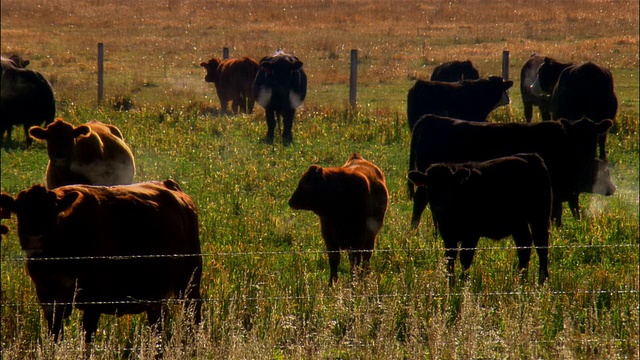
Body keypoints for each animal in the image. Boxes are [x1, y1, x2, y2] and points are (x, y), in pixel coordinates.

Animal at [290, 153, 390, 286]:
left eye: (304, 185)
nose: (291, 201)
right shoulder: (329, 237)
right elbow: (334, 260)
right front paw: (332, 283)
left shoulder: (357, 239)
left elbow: (354, 263)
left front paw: (354, 283)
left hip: (370, 238)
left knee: (366, 257)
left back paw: (364, 276)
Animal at [410, 114, 616, 228]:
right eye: (576, 135)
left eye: (594, 135)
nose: (587, 153)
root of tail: (429, 118)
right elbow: (558, 212)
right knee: (421, 200)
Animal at [410, 153, 552, 286]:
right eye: (429, 187)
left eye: (449, 187)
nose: (439, 209)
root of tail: (531, 157)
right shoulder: (448, 236)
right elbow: (450, 259)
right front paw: (450, 284)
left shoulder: (472, 234)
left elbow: (465, 258)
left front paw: (463, 283)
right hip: (518, 224)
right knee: (524, 246)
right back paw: (522, 280)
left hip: (539, 218)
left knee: (541, 246)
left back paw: (542, 280)